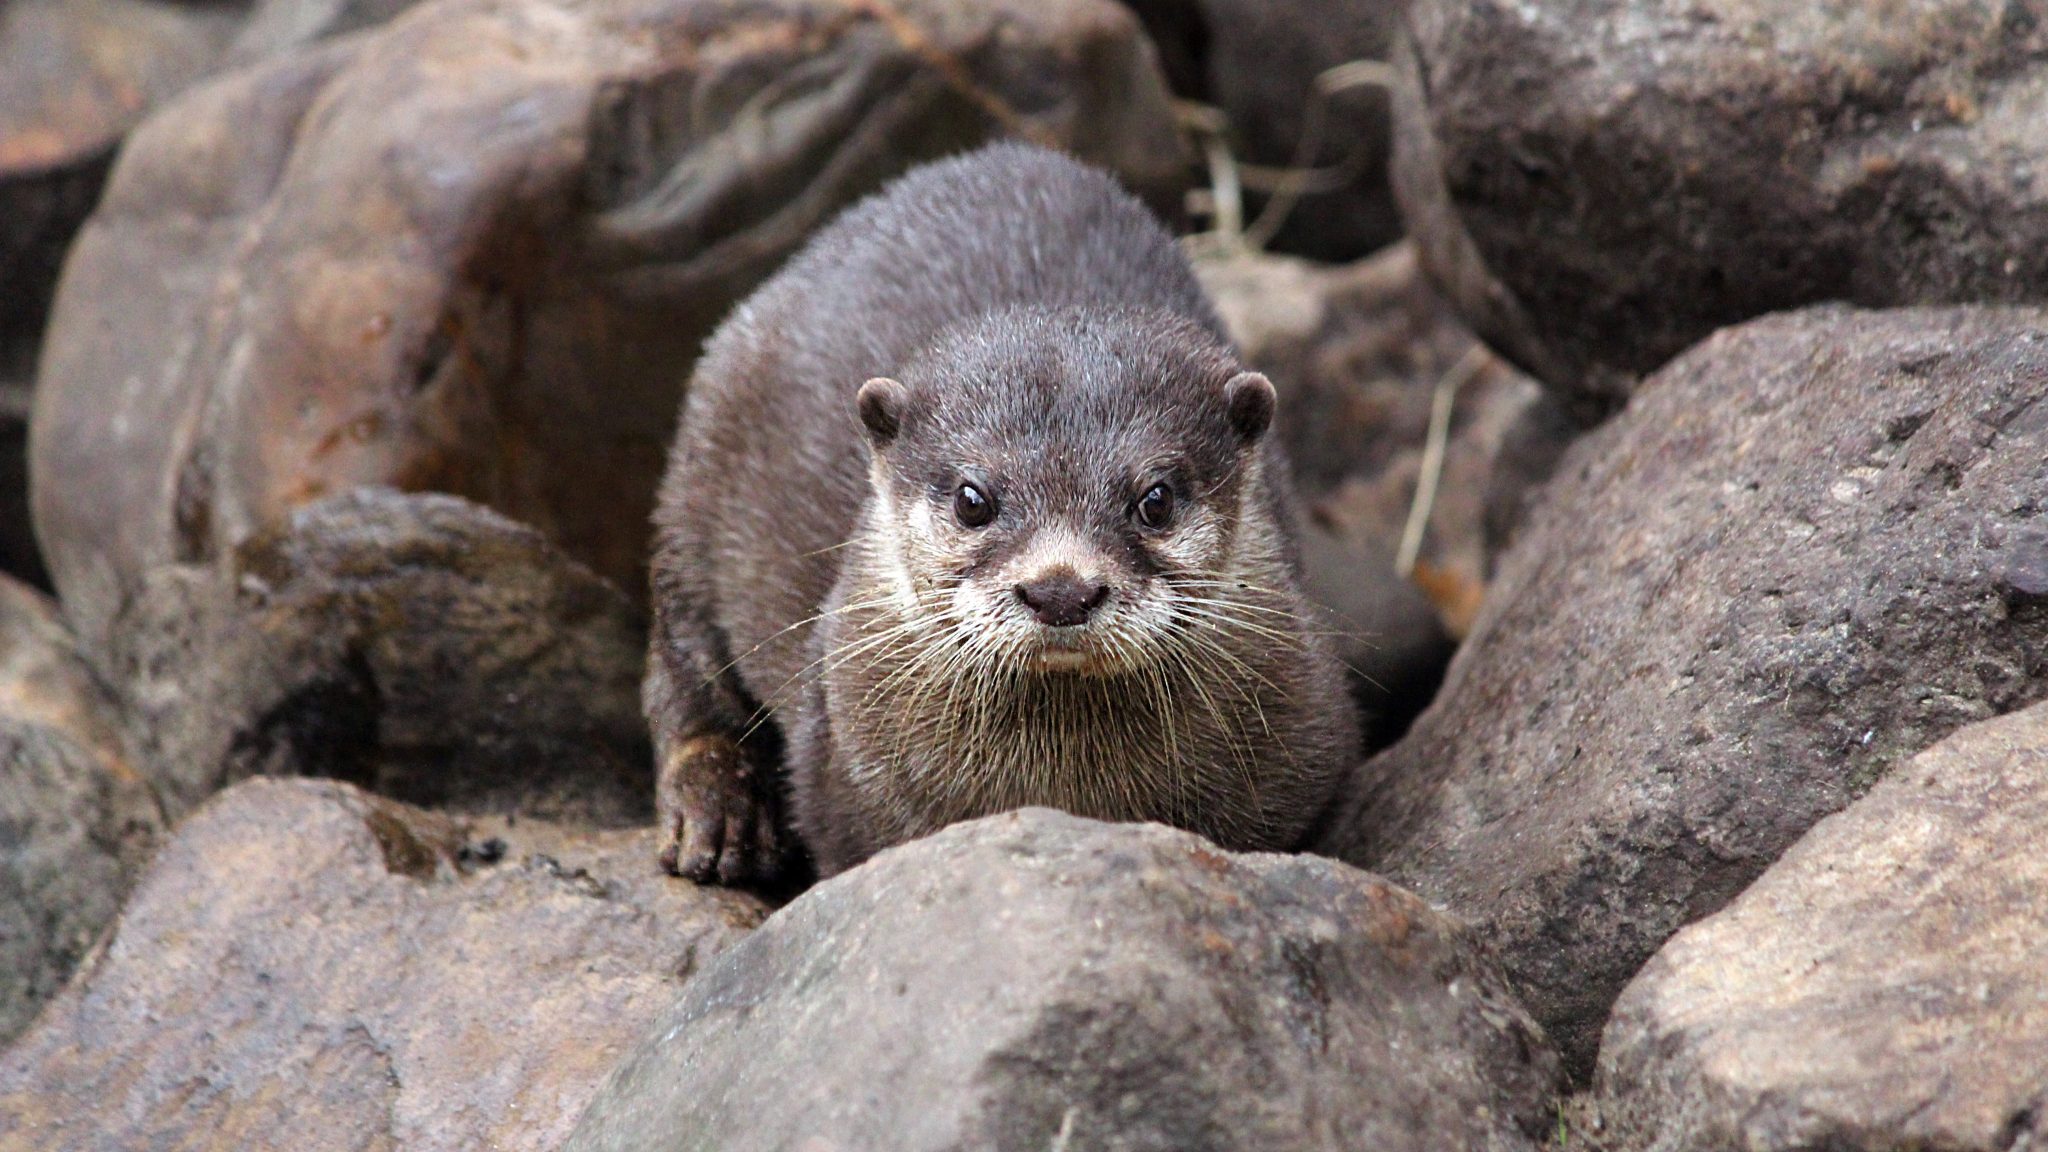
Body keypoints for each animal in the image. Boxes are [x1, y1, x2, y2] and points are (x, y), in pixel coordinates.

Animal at [645, 143, 1359, 884]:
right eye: (973, 500)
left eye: (1156, 499)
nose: (1061, 589)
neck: (1066, 794)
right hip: (695, 481)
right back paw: (717, 815)